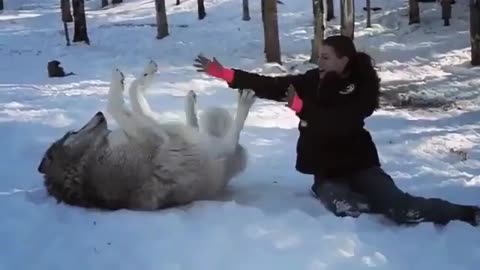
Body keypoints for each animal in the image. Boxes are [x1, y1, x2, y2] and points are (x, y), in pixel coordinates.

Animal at [38, 61, 256, 211]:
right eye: (73, 132)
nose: (98, 115)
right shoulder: (158, 137)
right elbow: (116, 102)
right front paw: (121, 80)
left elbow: (123, 100)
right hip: (195, 141)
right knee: (231, 136)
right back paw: (244, 100)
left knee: (192, 123)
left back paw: (189, 99)